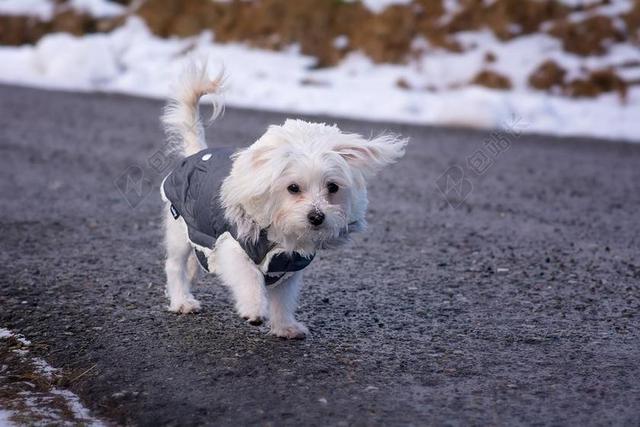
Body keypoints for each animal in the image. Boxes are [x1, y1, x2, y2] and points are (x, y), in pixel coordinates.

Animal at [160, 62, 408, 342]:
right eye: (293, 188)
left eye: (332, 187)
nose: (317, 216)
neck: (281, 237)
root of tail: (196, 153)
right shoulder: (233, 247)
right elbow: (249, 278)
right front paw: (254, 309)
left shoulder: (287, 267)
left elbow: (283, 300)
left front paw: (284, 327)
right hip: (178, 228)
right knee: (174, 265)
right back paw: (181, 300)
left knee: (195, 260)